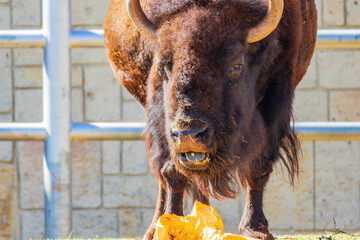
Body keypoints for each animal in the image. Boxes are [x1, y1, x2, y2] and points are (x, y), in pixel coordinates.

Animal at [103, 0, 316, 239]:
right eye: (161, 68)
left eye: (235, 65)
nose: (189, 134)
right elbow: (171, 169)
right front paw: (169, 224)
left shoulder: (277, 95)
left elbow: (258, 166)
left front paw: (256, 230)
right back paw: (158, 226)